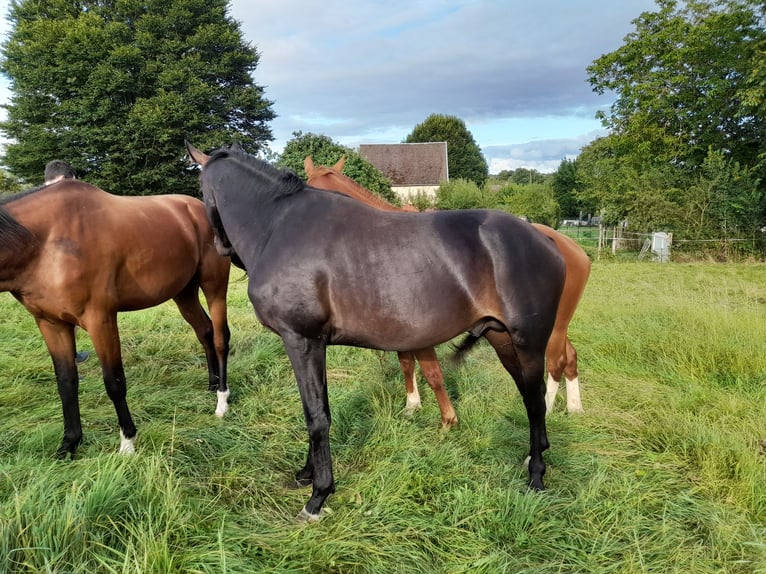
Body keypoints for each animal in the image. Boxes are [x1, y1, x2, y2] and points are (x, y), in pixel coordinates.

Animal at [0, 182, 234, 462]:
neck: (47, 244)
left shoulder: (101, 320)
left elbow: (114, 382)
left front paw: (127, 443)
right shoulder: (51, 324)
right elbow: (66, 382)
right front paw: (69, 445)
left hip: (214, 285)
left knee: (220, 338)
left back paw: (222, 401)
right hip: (184, 292)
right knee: (205, 331)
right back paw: (212, 384)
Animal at [304, 156, 592, 424]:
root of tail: (569, 246)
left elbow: (432, 373)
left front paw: (447, 419)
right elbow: (406, 363)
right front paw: (412, 406)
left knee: (555, 362)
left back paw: (547, 408)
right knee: (569, 356)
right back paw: (574, 407)